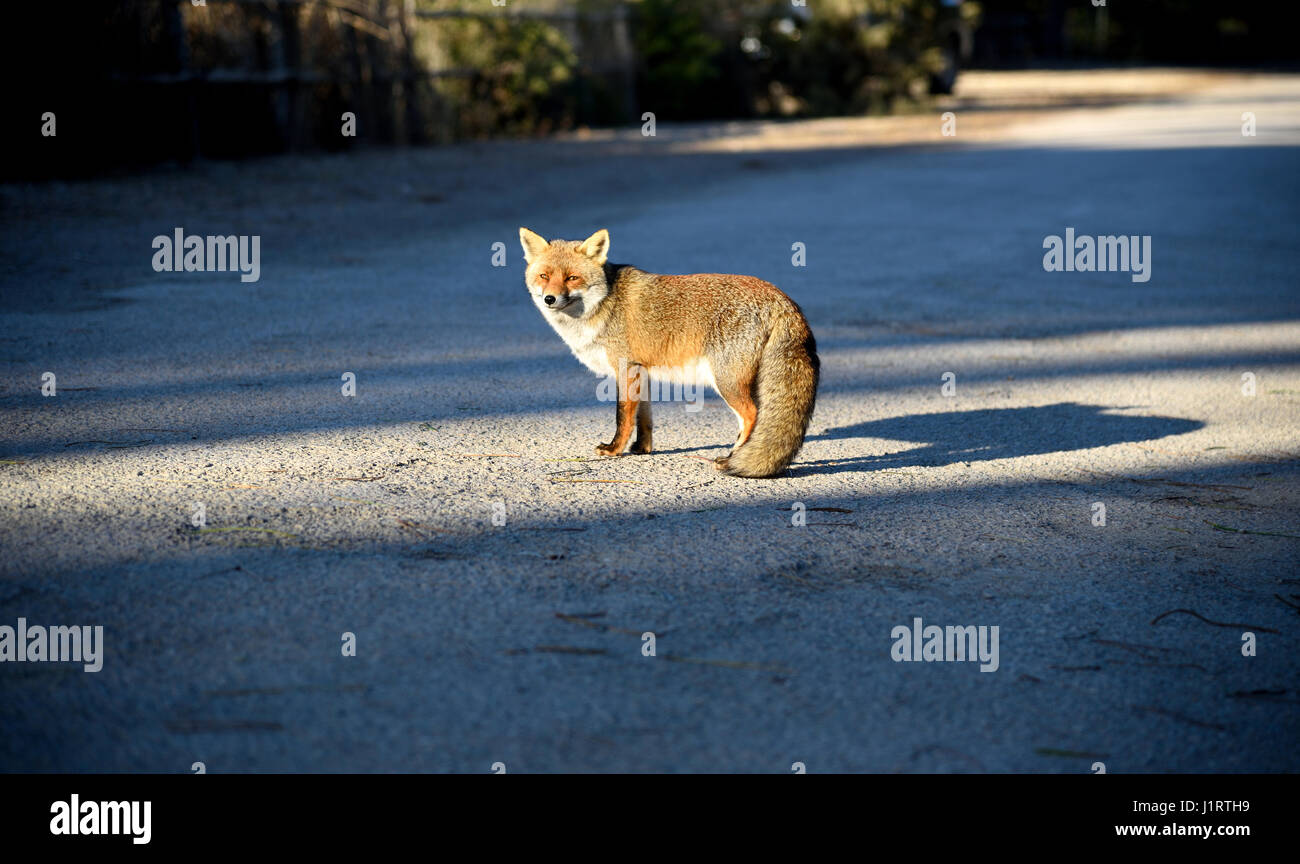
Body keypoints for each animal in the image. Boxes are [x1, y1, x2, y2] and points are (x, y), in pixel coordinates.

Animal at [520, 226, 816, 478]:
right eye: (544, 276)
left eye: (572, 278)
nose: (549, 299)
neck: (604, 304)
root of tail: (784, 300)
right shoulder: (642, 372)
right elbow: (644, 418)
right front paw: (642, 449)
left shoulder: (625, 368)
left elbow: (622, 417)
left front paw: (614, 450)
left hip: (727, 381)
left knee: (752, 415)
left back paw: (733, 457)